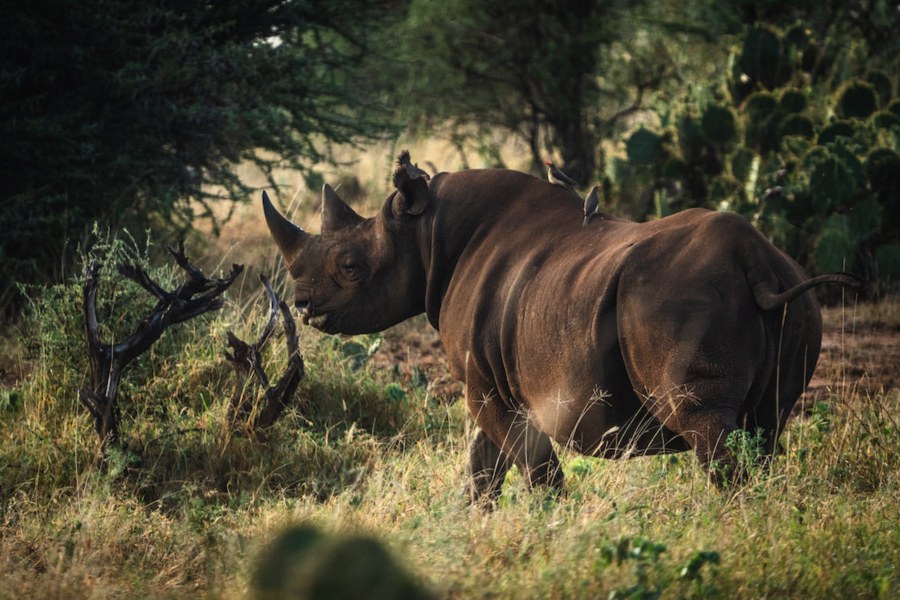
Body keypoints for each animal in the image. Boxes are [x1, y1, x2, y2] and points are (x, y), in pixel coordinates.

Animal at [263, 151, 859, 502]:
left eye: (350, 267)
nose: (304, 305)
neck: (426, 234)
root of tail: (755, 260)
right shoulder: (493, 380)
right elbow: (483, 465)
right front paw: (475, 522)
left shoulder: (489, 386)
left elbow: (532, 467)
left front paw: (552, 522)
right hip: (797, 301)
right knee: (767, 426)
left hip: (680, 301)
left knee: (706, 426)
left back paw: (730, 521)